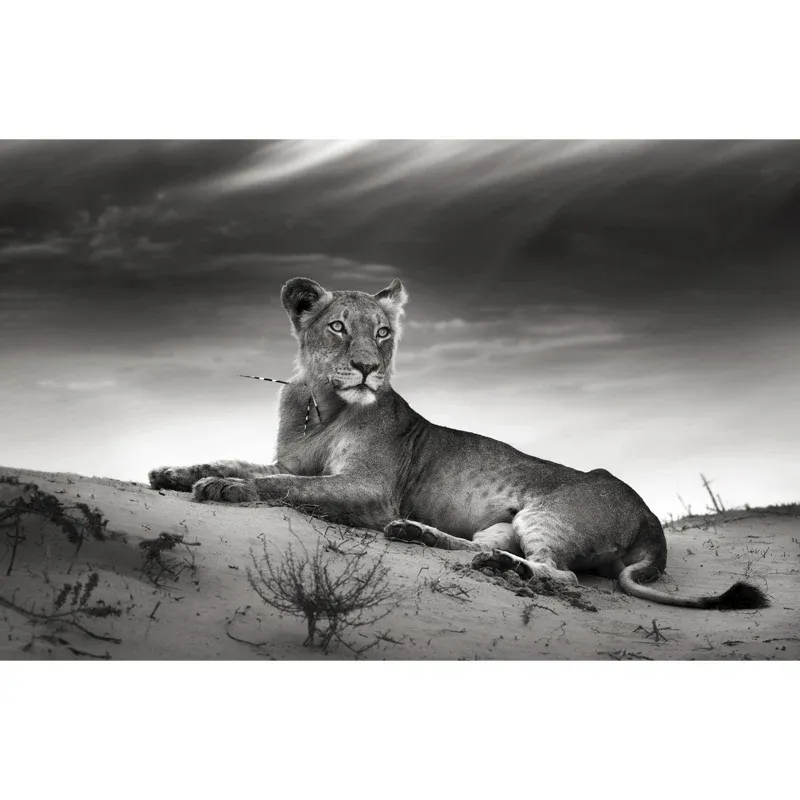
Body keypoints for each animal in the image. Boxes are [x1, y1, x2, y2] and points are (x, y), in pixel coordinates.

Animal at [149, 276, 768, 610]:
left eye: (382, 332)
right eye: (337, 327)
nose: (368, 368)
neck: (320, 405)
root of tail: (652, 523)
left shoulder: (371, 490)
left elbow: (284, 486)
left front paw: (225, 489)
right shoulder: (294, 460)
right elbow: (247, 463)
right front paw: (175, 473)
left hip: (549, 513)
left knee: (560, 574)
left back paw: (499, 568)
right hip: (504, 522)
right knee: (481, 546)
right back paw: (422, 537)